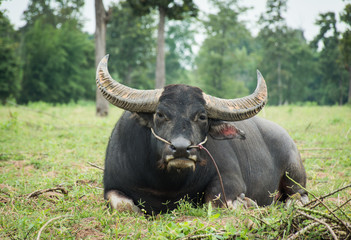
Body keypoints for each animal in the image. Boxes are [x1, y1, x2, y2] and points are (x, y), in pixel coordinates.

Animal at [97, 54, 308, 214]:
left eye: (202, 117)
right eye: (160, 114)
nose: (181, 149)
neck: (167, 183)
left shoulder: (230, 178)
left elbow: (216, 201)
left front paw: (246, 202)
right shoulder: (112, 185)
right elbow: (124, 206)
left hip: (294, 173)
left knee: (299, 194)